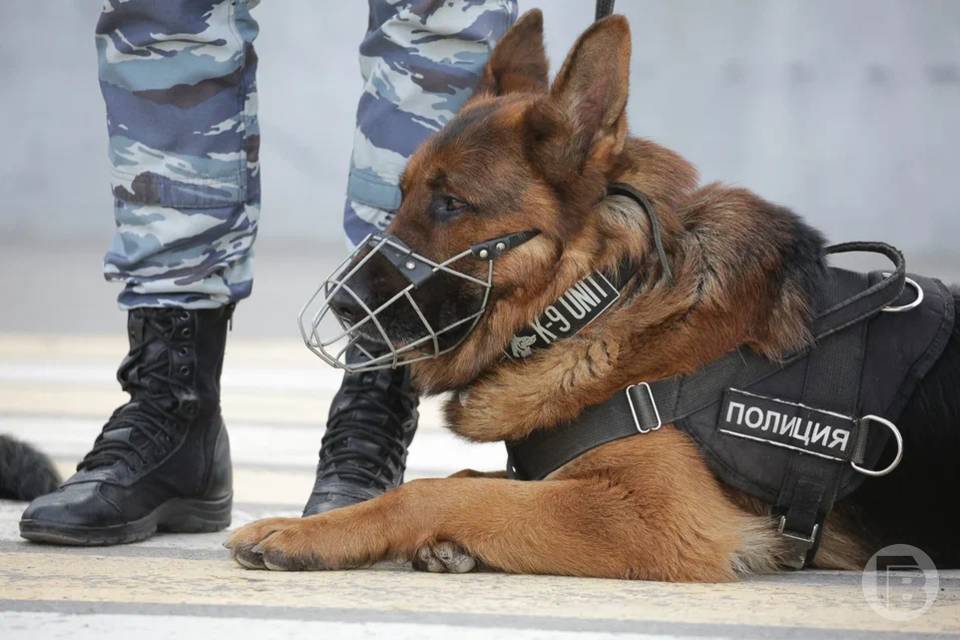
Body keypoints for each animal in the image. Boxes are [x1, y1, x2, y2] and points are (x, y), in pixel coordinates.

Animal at [227, 10, 960, 580]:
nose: (343, 306)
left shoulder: (658, 517)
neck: (594, 302)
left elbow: (428, 490)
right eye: (401, 194)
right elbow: (469, 484)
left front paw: (310, 533)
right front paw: (448, 544)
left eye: (450, 203)